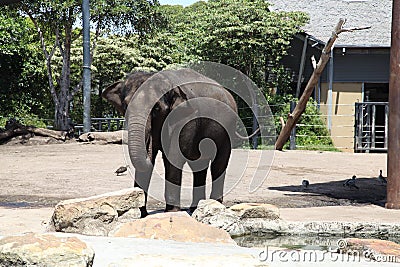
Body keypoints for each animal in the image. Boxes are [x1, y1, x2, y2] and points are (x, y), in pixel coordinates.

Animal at [103, 69, 241, 218]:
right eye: (125, 106)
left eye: (156, 108)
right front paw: (141, 214)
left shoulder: (184, 117)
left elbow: (174, 156)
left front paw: (171, 212)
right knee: (199, 166)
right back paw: (195, 208)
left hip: (228, 130)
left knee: (219, 163)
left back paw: (215, 204)